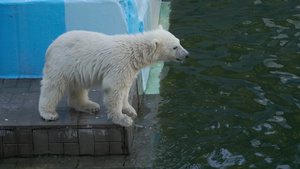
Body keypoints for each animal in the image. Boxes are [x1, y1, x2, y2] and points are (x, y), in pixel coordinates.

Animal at [38, 25, 189, 127]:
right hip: (62, 64)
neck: (133, 52)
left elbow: (125, 89)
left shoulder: (129, 69)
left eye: (179, 41)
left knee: (79, 87)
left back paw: (89, 105)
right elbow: (114, 89)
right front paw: (123, 119)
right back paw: (49, 113)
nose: (187, 54)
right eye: (175, 47)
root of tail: (50, 46)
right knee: (53, 87)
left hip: (76, 70)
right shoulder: (119, 64)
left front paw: (129, 110)